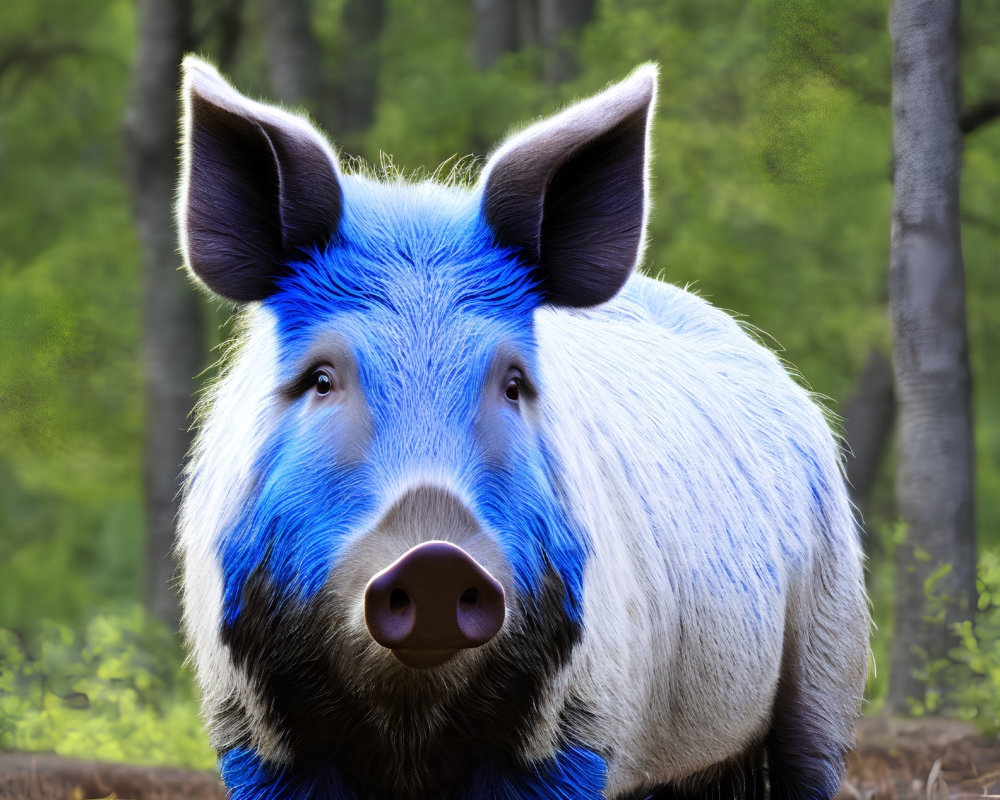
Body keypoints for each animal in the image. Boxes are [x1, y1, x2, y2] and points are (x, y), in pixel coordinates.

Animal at [178, 56, 868, 800]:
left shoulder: (580, 727)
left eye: (513, 383)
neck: (408, 726)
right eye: (321, 379)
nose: (434, 557)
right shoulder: (251, 734)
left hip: (831, 641)